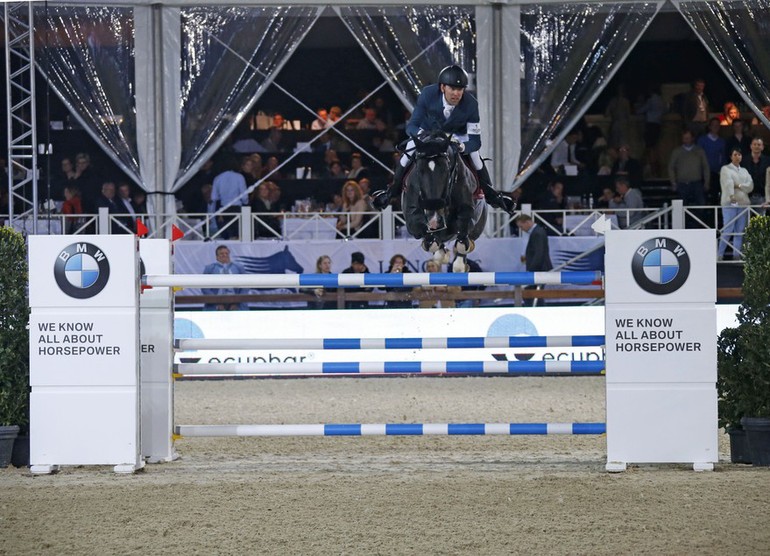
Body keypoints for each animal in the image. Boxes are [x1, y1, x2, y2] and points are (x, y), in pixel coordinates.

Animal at [400, 129, 484, 272]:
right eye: (419, 170)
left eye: (446, 170)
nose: (434, 220)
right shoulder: (412, 221)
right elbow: (427, 237)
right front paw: (437, 248)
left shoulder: (468, 214)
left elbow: (462, 233)